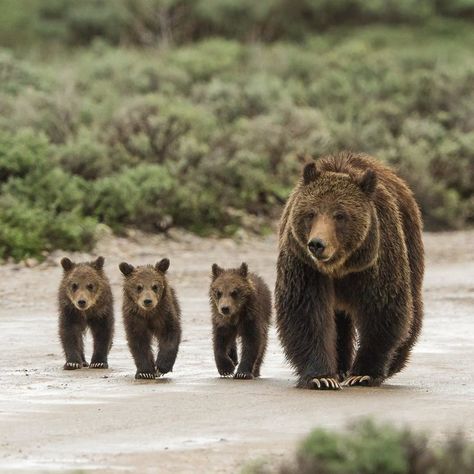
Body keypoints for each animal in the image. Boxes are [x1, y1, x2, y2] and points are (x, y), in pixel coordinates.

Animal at [276, 152, 424, 388]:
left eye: (340, 215)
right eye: (311, 213)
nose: (317, 244)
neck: (340, 266)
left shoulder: (376, 259)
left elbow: (382, 309)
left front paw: (364, 373)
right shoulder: (305, 265)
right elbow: (306, 312)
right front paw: (321, 377)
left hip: (410, 243)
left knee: (412, 306)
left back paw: (394, 362)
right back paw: (340, 368)